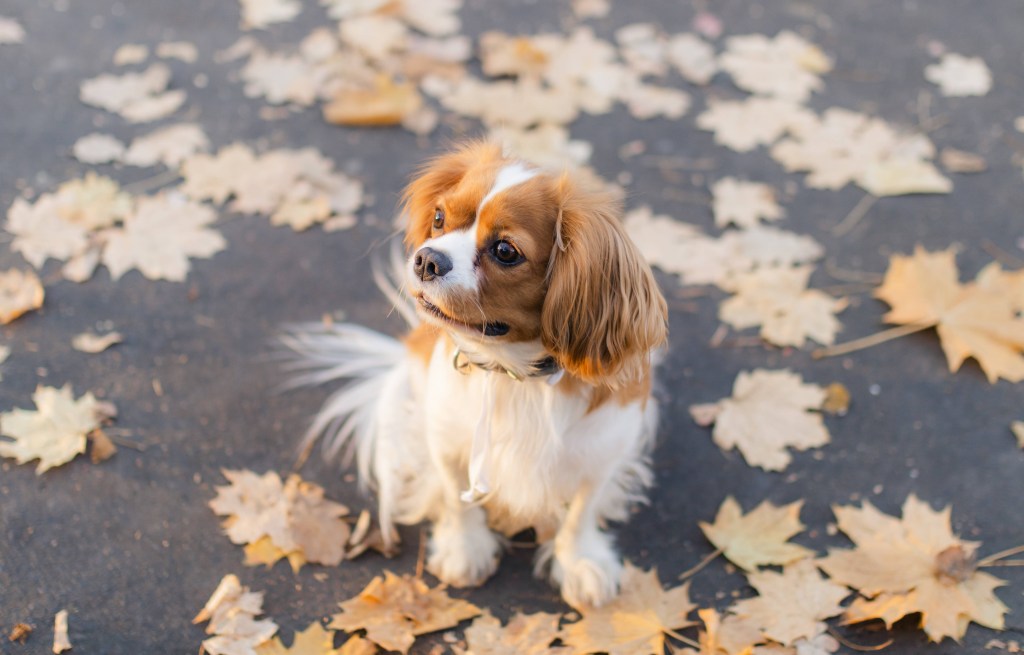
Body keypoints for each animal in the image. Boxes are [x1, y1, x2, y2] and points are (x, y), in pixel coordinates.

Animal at [280, 143, 667, 609]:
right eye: (439, 217)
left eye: (506, 251)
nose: (427, 259)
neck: (512, 374)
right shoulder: (448, 439)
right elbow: (456, 497)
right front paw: (464, 550)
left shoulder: (603, 450)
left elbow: (580, 512)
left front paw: (579, 561)